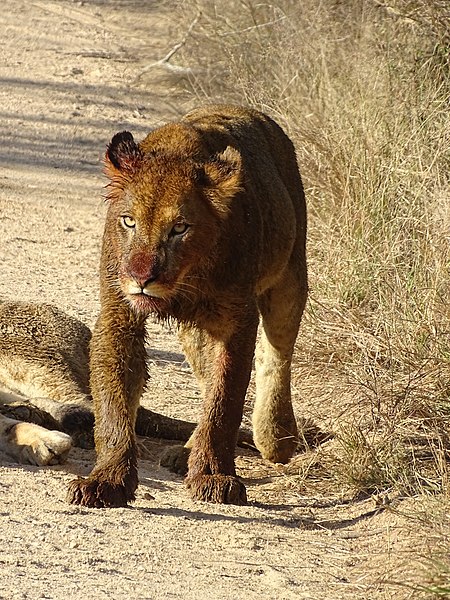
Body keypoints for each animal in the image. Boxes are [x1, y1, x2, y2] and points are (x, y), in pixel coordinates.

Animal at [67, 105, 308, 508]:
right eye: (128, 221)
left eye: (179, 228)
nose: (141, 278)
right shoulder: (119, 312)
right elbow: (114, 399)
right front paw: (108, 479)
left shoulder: (237, 319)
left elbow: (224, 401)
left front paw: (213, 475)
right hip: (195, 332)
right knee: (206, 374)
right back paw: (186, 452)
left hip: (290, 276)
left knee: (278, 353)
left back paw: (275, 435)